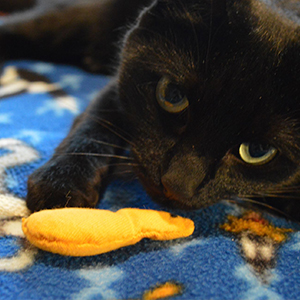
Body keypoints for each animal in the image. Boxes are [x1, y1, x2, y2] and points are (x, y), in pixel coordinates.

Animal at [0, 0, 300, 220]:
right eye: (172, 96)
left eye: (258, 151)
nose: (177, 183)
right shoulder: (119, 82)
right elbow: (95, 125)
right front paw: (63, 181)